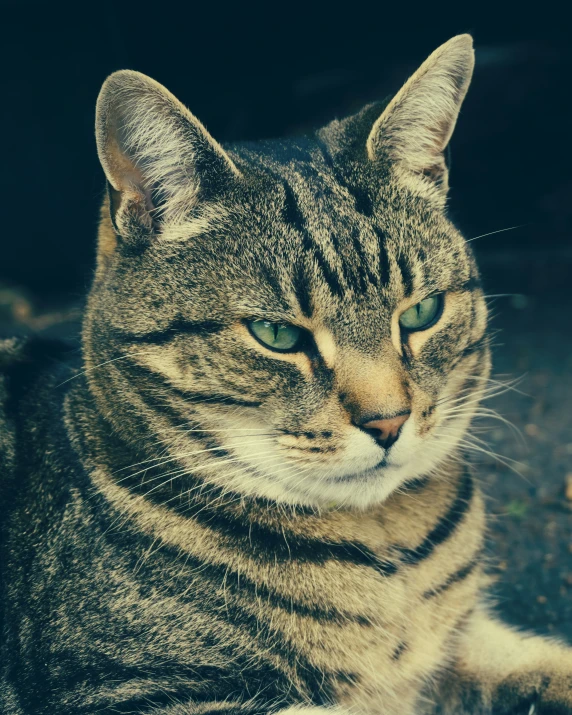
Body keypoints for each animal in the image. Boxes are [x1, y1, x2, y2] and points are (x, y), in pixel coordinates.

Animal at [1, 32, 572, 715]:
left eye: (422, 312)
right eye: (276, 336)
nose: (389, 422)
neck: (391, 557)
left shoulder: (462, 646)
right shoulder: (124, 690)